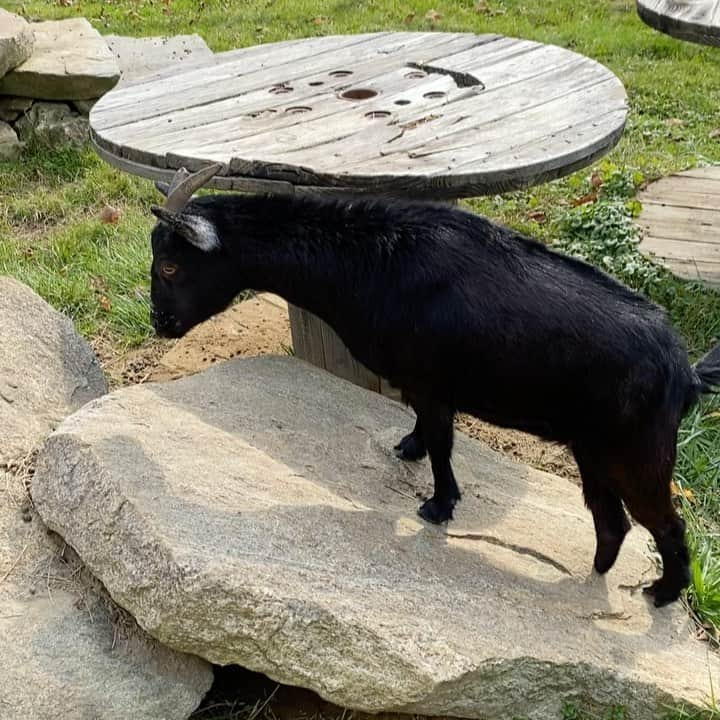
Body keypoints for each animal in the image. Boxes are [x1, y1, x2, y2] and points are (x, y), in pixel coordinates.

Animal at [148, 165, 720, 608]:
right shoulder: (419, 388)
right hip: (593, 451)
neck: (370, 261)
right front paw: (409, 448)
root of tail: (684, 373)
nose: (160, 323)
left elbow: (444, 445)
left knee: (665, 525)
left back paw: (661, 593)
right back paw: (596, 574)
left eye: (172, 266)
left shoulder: (433, 384)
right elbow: (423, 428)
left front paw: (438, 506)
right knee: (613, 523)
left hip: (635, 454)